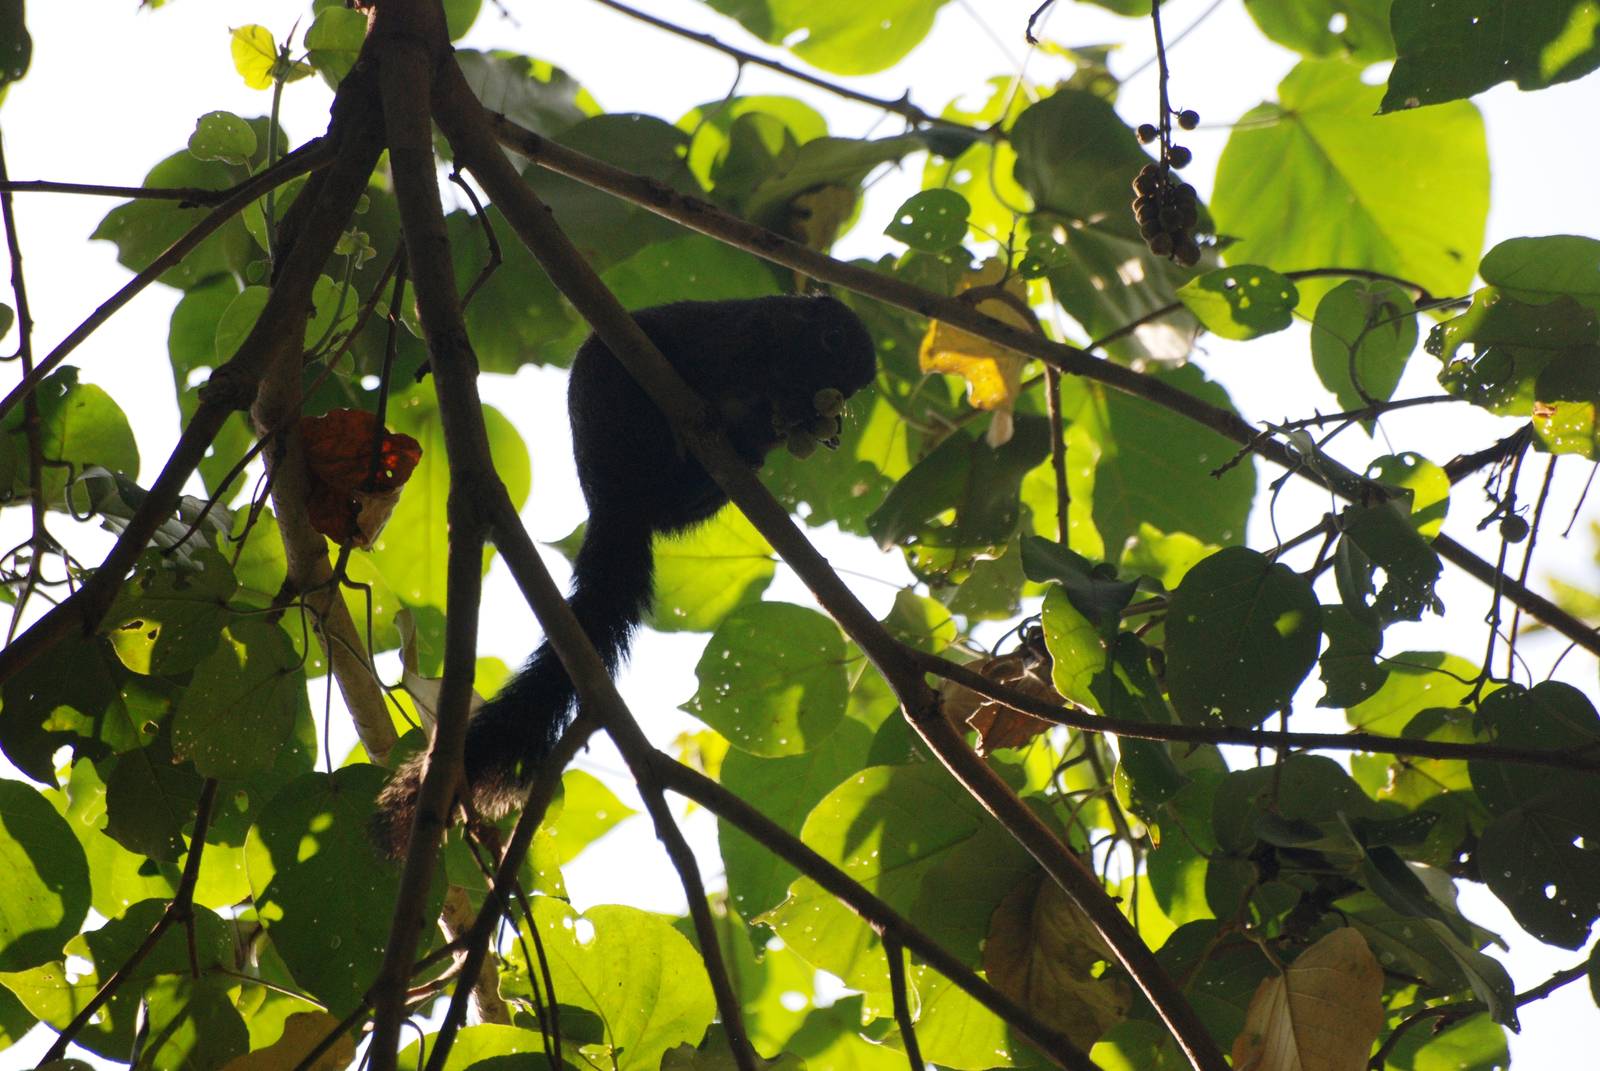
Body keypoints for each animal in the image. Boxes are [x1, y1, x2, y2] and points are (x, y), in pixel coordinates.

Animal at [374, 295, 877, 854]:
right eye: (832, 338)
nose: (851, 386)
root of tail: (612, 503)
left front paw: (811, 423)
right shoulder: (730, 337)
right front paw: (794, 406)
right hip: (620, 412)